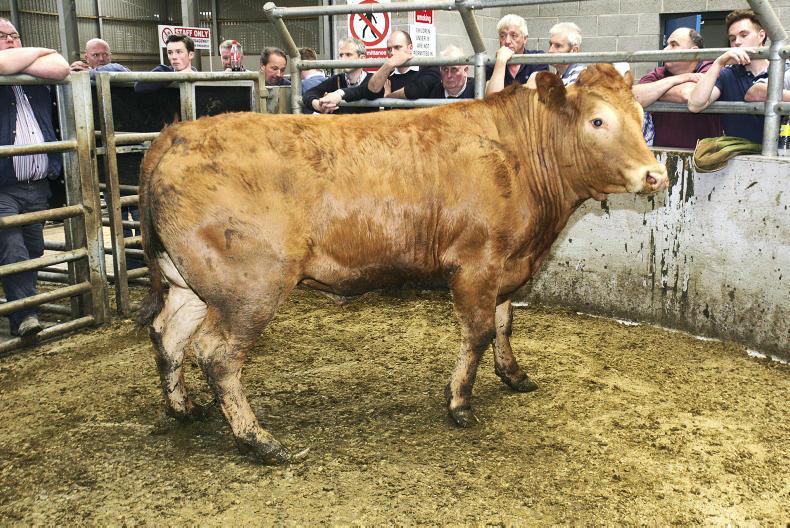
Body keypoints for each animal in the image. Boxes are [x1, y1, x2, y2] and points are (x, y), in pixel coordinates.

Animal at [138, 64, 668, 465]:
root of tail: (177, 133)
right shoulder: (474, 264)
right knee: (216, 354)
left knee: (169, 334)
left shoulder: (508, 265)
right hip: (250, 288)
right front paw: (459, 403)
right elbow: (478, 332)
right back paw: (258, 440)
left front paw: (515, 376)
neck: (516, 154)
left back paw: (183, 408)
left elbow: (504, 324)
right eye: (598, 121)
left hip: (190, 281)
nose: (656, 175)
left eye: (641, 114)